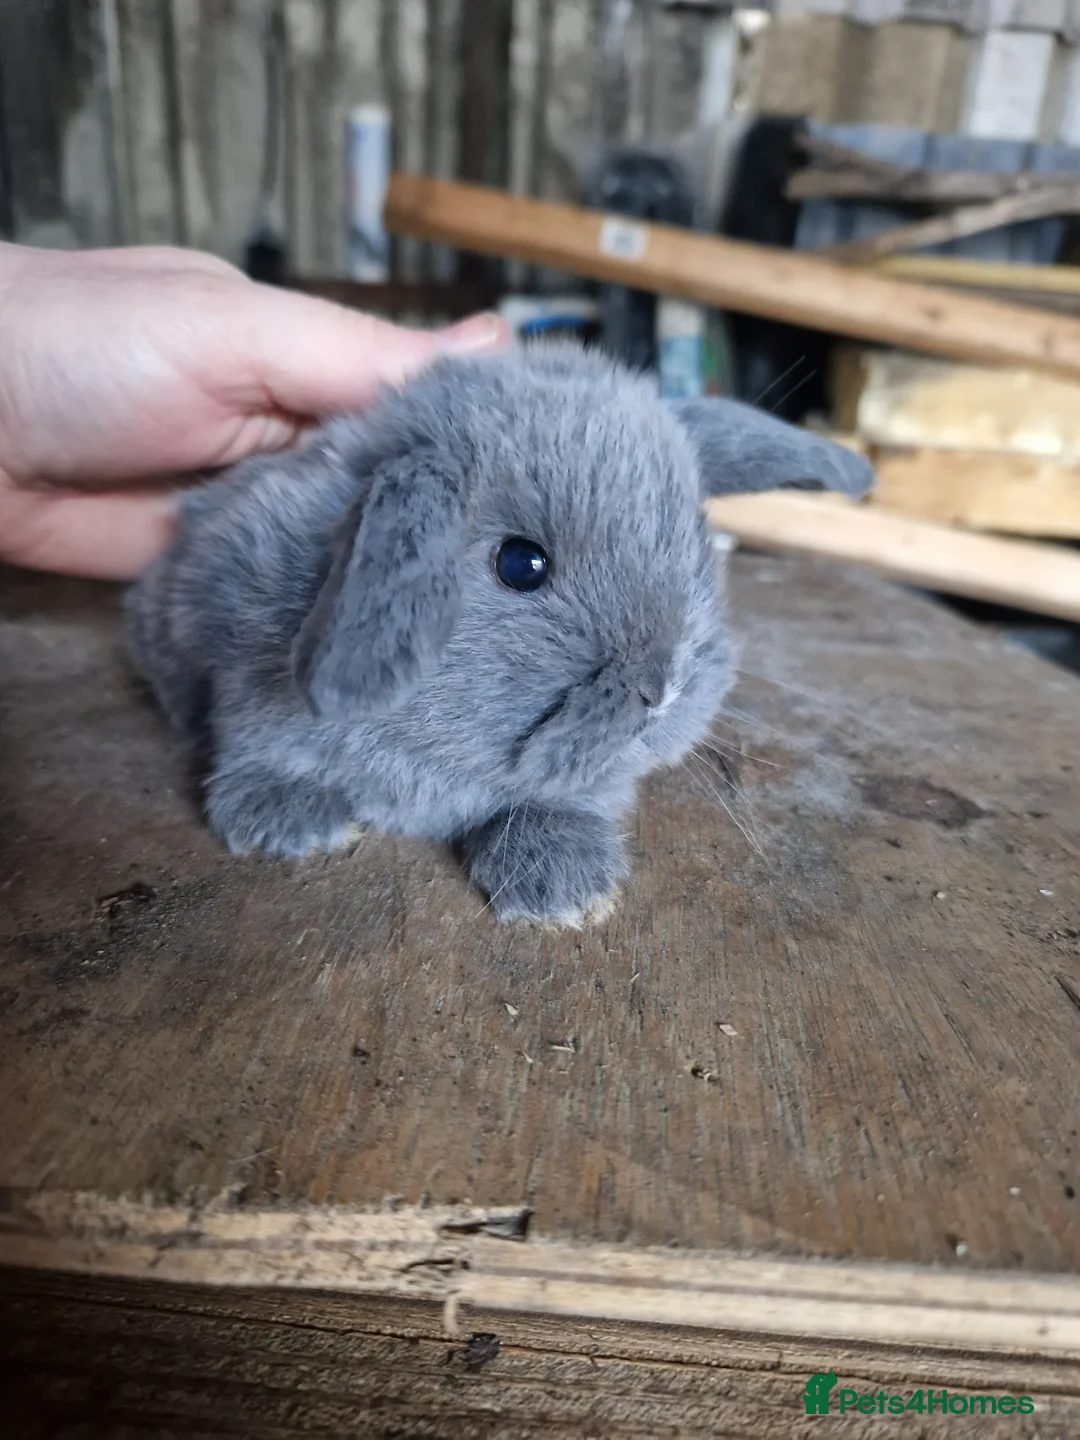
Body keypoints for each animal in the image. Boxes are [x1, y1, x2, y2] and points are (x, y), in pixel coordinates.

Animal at [127, 342, 872, 925]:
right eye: (521, 564)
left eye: (696, 552)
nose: (663, 690)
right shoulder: (239, 661)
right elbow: (255, 739)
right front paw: (288, 821)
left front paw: (566, 884)